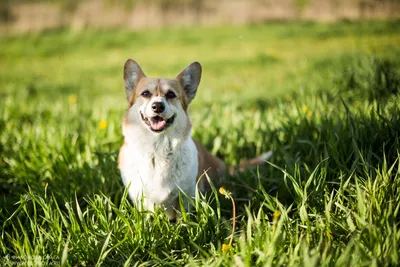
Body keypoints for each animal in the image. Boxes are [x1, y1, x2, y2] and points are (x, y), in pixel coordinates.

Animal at [117, 60, 270, 220]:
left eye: (171, 94)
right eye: (145, 93)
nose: (158, 106)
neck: (158, 149)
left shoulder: (186, 196)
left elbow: (183, 218)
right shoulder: (140, 198)